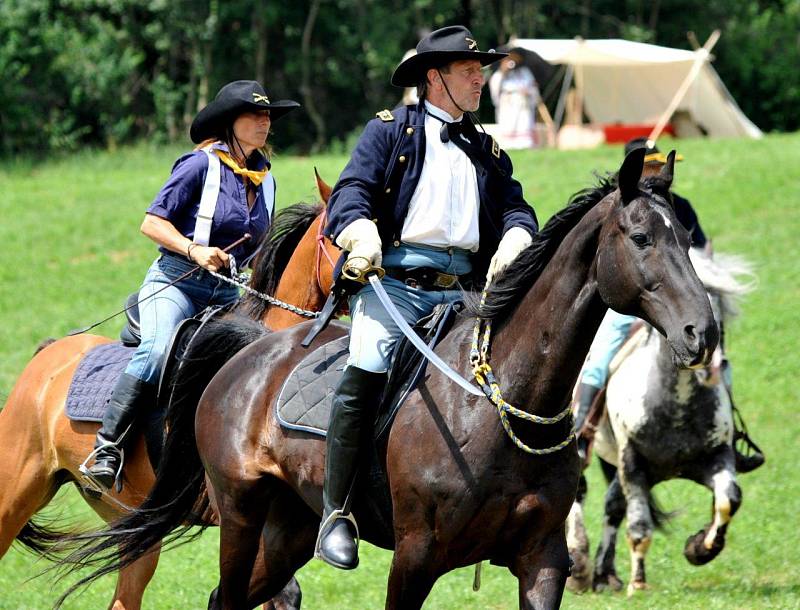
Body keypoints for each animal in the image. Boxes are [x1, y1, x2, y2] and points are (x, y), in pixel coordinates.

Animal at [54, 148, 720, 608]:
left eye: (687, 237)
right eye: (641, 238)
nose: (702, 333)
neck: (499, 400)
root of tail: (247, 356)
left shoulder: (543, 561)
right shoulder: (416, 558)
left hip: (287, 531)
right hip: (240, 514)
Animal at [568, 248, 756, 592]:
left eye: (720, 309)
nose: (712, 363)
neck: (675, 407)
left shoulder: (716, 456)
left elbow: (728, 500)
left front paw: (700, 548)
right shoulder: (632, 462)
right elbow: (640, 525)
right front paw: (638, 585)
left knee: (612, 505)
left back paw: (605, 574)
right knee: (580, 493)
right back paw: (579, 566)